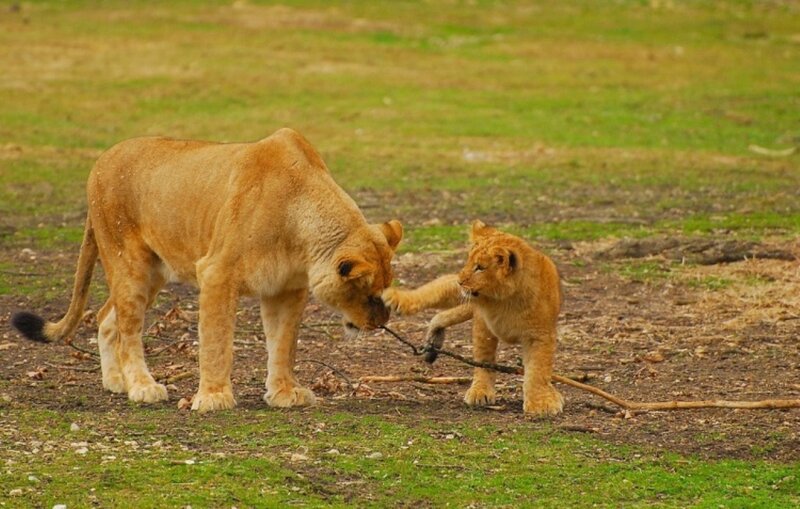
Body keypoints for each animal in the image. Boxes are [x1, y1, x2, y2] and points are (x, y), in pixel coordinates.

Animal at [11, 128, 402, 412]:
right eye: (368, 294)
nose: (380, 323)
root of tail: (103, 157)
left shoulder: (287, 289)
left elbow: (283, 345)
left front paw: (284, 393)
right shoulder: (217, 272)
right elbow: (216, 341)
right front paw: (213, 398)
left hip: (154, 271)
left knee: (108, 316)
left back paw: (116, 382)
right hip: (128, 261)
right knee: (128, 327)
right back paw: (142, 386)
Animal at [382, 220, 564, 416]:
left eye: (480, 268)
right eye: (469, 261)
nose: (460, 281)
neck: (505, 300)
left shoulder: (540, 335)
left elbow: (538, 369)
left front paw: (541, 403)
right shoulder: (483, 324)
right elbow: (484, 359)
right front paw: (480, 392)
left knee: (441, 314)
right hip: (458, 296)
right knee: (431, 294)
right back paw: (396, 299)